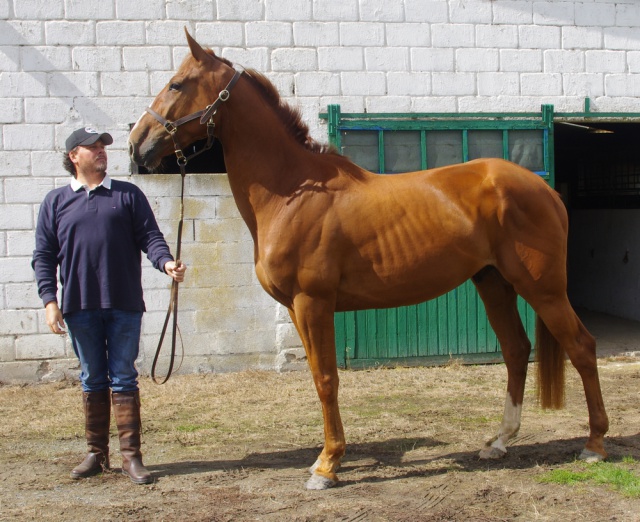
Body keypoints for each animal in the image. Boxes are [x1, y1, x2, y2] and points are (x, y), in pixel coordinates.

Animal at [127, 31, 608, 488]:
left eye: (177, 84)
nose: (136, 145)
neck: (292, 192)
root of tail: (544, 189)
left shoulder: (313, 303)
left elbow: (326, 380)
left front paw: (327, 466)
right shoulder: (297, 309)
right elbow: (318, 378)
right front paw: (329, 458)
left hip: (543, 288)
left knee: (581, 347)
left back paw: (595, 444)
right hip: (493, 282)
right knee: (516, 350)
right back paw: (500, 441)